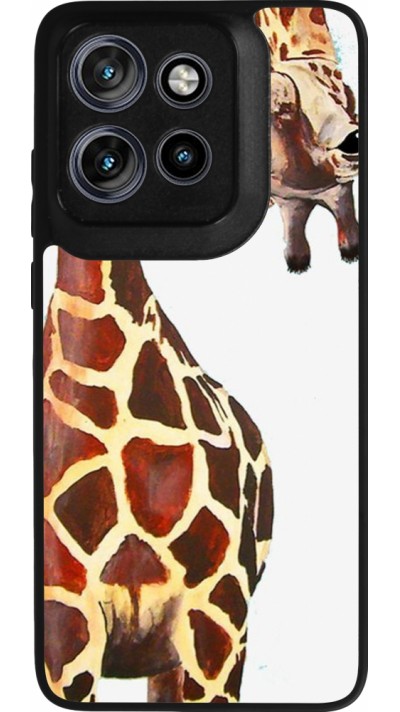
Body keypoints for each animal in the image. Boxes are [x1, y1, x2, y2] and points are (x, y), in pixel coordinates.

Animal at [256, 7, 359, 272]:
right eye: (284, 106)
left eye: (340, 90)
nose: (351, 136)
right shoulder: (289, 200)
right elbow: (296, 251)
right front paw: (298, 267)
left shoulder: (340, 189)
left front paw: (351, 255)